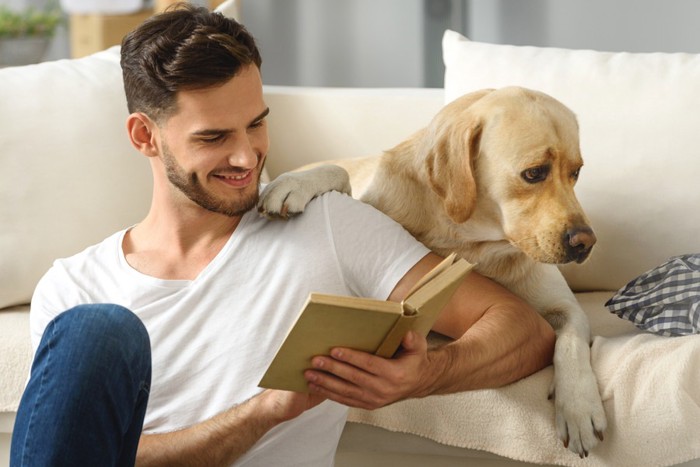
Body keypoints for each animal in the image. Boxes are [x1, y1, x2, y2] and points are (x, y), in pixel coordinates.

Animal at [260, 87, 604, 458]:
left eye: (576, 173)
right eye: (534, 173)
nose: (585, 242)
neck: (469, 240)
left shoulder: (566, 308)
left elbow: (571, 342)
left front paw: (579, 408)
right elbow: (339, 173)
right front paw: (295, 184)